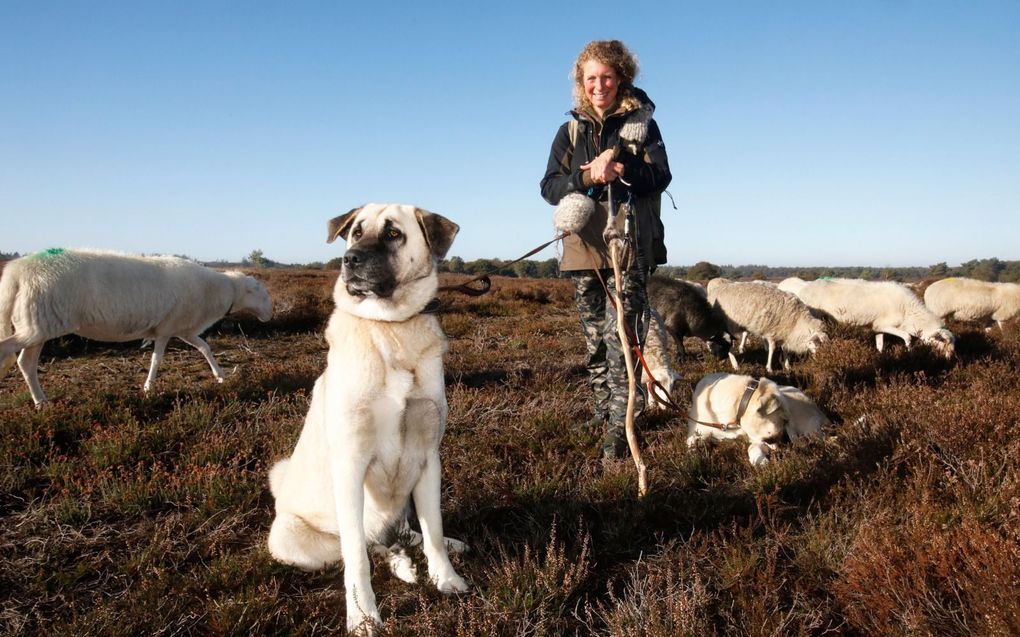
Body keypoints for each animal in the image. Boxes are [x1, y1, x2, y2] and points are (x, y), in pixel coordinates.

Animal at [0, 247, 273, 401]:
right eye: (262, 293)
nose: (270, 316)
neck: (219, 290)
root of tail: (16, 273)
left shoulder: (180, 328)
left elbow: (204, 347)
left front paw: (221, 375)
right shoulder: (167, 329)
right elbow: (157, 359)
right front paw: (149, 387)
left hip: (37, 325)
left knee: (26, 363)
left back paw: (41, 401)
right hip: (38, 325)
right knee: (10, 352)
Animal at [265, 202, 467, 631]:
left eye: (393, 234)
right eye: (355, 232)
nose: (350, 260)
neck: (392, 328)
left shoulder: (429, 458)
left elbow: (434, 530)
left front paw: (446, 577)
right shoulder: (351, 463)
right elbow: (356, 557)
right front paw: (361, 615)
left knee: (406, 534)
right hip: (290, 537)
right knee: (368, 546)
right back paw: (399, 562)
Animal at [685, 370, 828, 464]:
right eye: (783, 420)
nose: (783, 444)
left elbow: (753, 447)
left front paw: (760, 461)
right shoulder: (694, 433)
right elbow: (691, 445)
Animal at [787, 277, 954, 358]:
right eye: (944, 342)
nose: (949, 360)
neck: (909, 313)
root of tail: (805, 288)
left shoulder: (877, 327)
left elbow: (880, 344)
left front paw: (881, 357)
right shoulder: (885, 325)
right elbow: (907, 337)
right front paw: (909, 352)